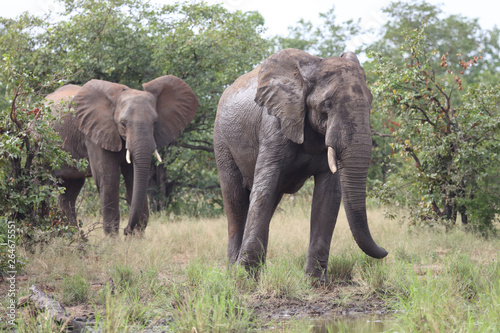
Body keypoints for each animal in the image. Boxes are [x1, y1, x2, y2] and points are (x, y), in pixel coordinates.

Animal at [45, 76, 197, 235]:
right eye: (123, 124)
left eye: (155, 123)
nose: (127, 230)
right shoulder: (94, 134)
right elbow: (108, 178)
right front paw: (113, 240)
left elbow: (133, 177)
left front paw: (135, 238)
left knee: (69, 192)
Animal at [213, 48, 388, 282]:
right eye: (327, 105)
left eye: (370, 103)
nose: (385, 251)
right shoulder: (274, 124)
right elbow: (264, 189)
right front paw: (246, 279)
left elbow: (329, 196)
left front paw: (315, 282)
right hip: (221, 140)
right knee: (235, 200)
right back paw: (234, 272)